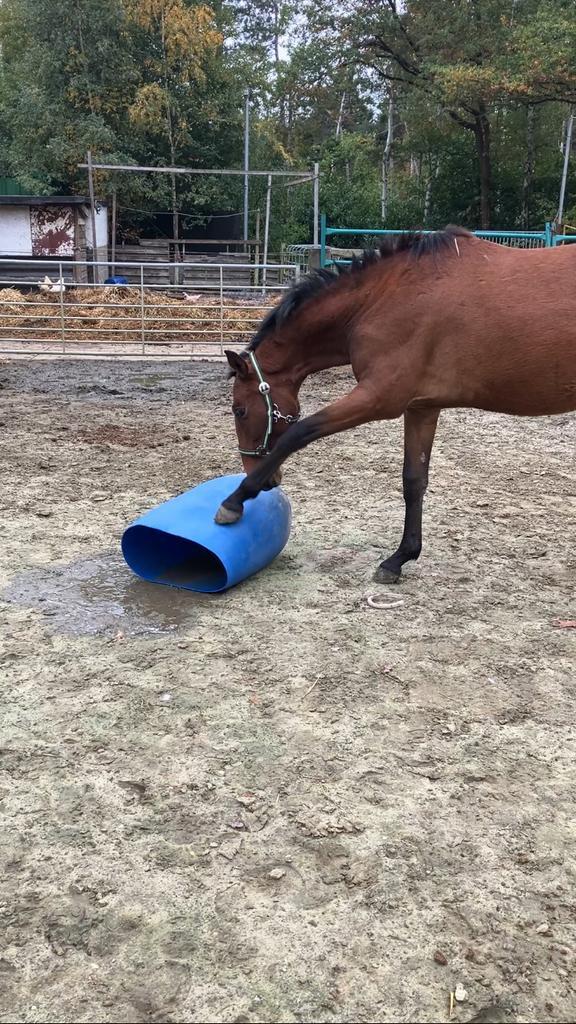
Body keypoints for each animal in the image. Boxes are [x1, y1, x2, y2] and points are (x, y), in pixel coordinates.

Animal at [216, 226, 576, 583]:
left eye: (239, 410)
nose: (265, 478)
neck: (383, 298)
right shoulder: (421, 408)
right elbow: (414, 481)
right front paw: (400, 557)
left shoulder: (378, 397)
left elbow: (299, 433)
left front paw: (234, 501)